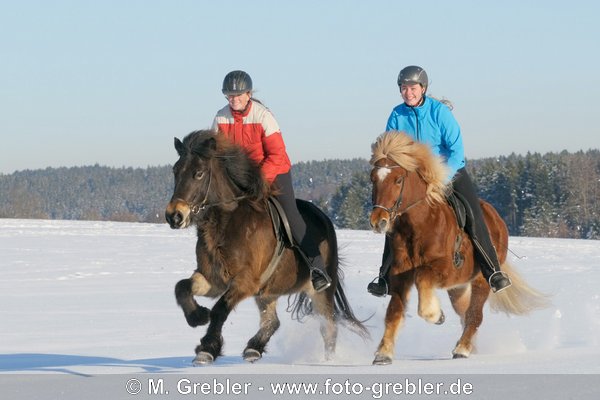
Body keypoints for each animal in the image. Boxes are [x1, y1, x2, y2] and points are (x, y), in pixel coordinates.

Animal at [166, 130, 368, 364]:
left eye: (198, 173)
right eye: (175, 171)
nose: (174, 216)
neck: (226, 223)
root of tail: (325, 219)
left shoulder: (245, 281)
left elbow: (219, 309)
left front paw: (207, 347)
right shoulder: (212, 279)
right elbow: (181, 287)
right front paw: (197, 316)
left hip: (321, 292)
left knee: (329, 329)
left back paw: (327, 362)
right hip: (267, 293)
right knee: (273, 321)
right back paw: (253, 348)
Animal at [368, 132, 548, 366]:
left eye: (398, 179)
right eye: (373, 179)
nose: (377, 222)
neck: (418, 226)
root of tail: (496, 217)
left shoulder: (442, 269)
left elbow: (423, 281)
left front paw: (436, 315)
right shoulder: (400, 276)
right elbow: (393, 312)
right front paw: (384, 354)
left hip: (481, 280)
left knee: (475, 315)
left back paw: (462, 349)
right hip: (459, 287)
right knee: (464, 313)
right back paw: (469, 346)